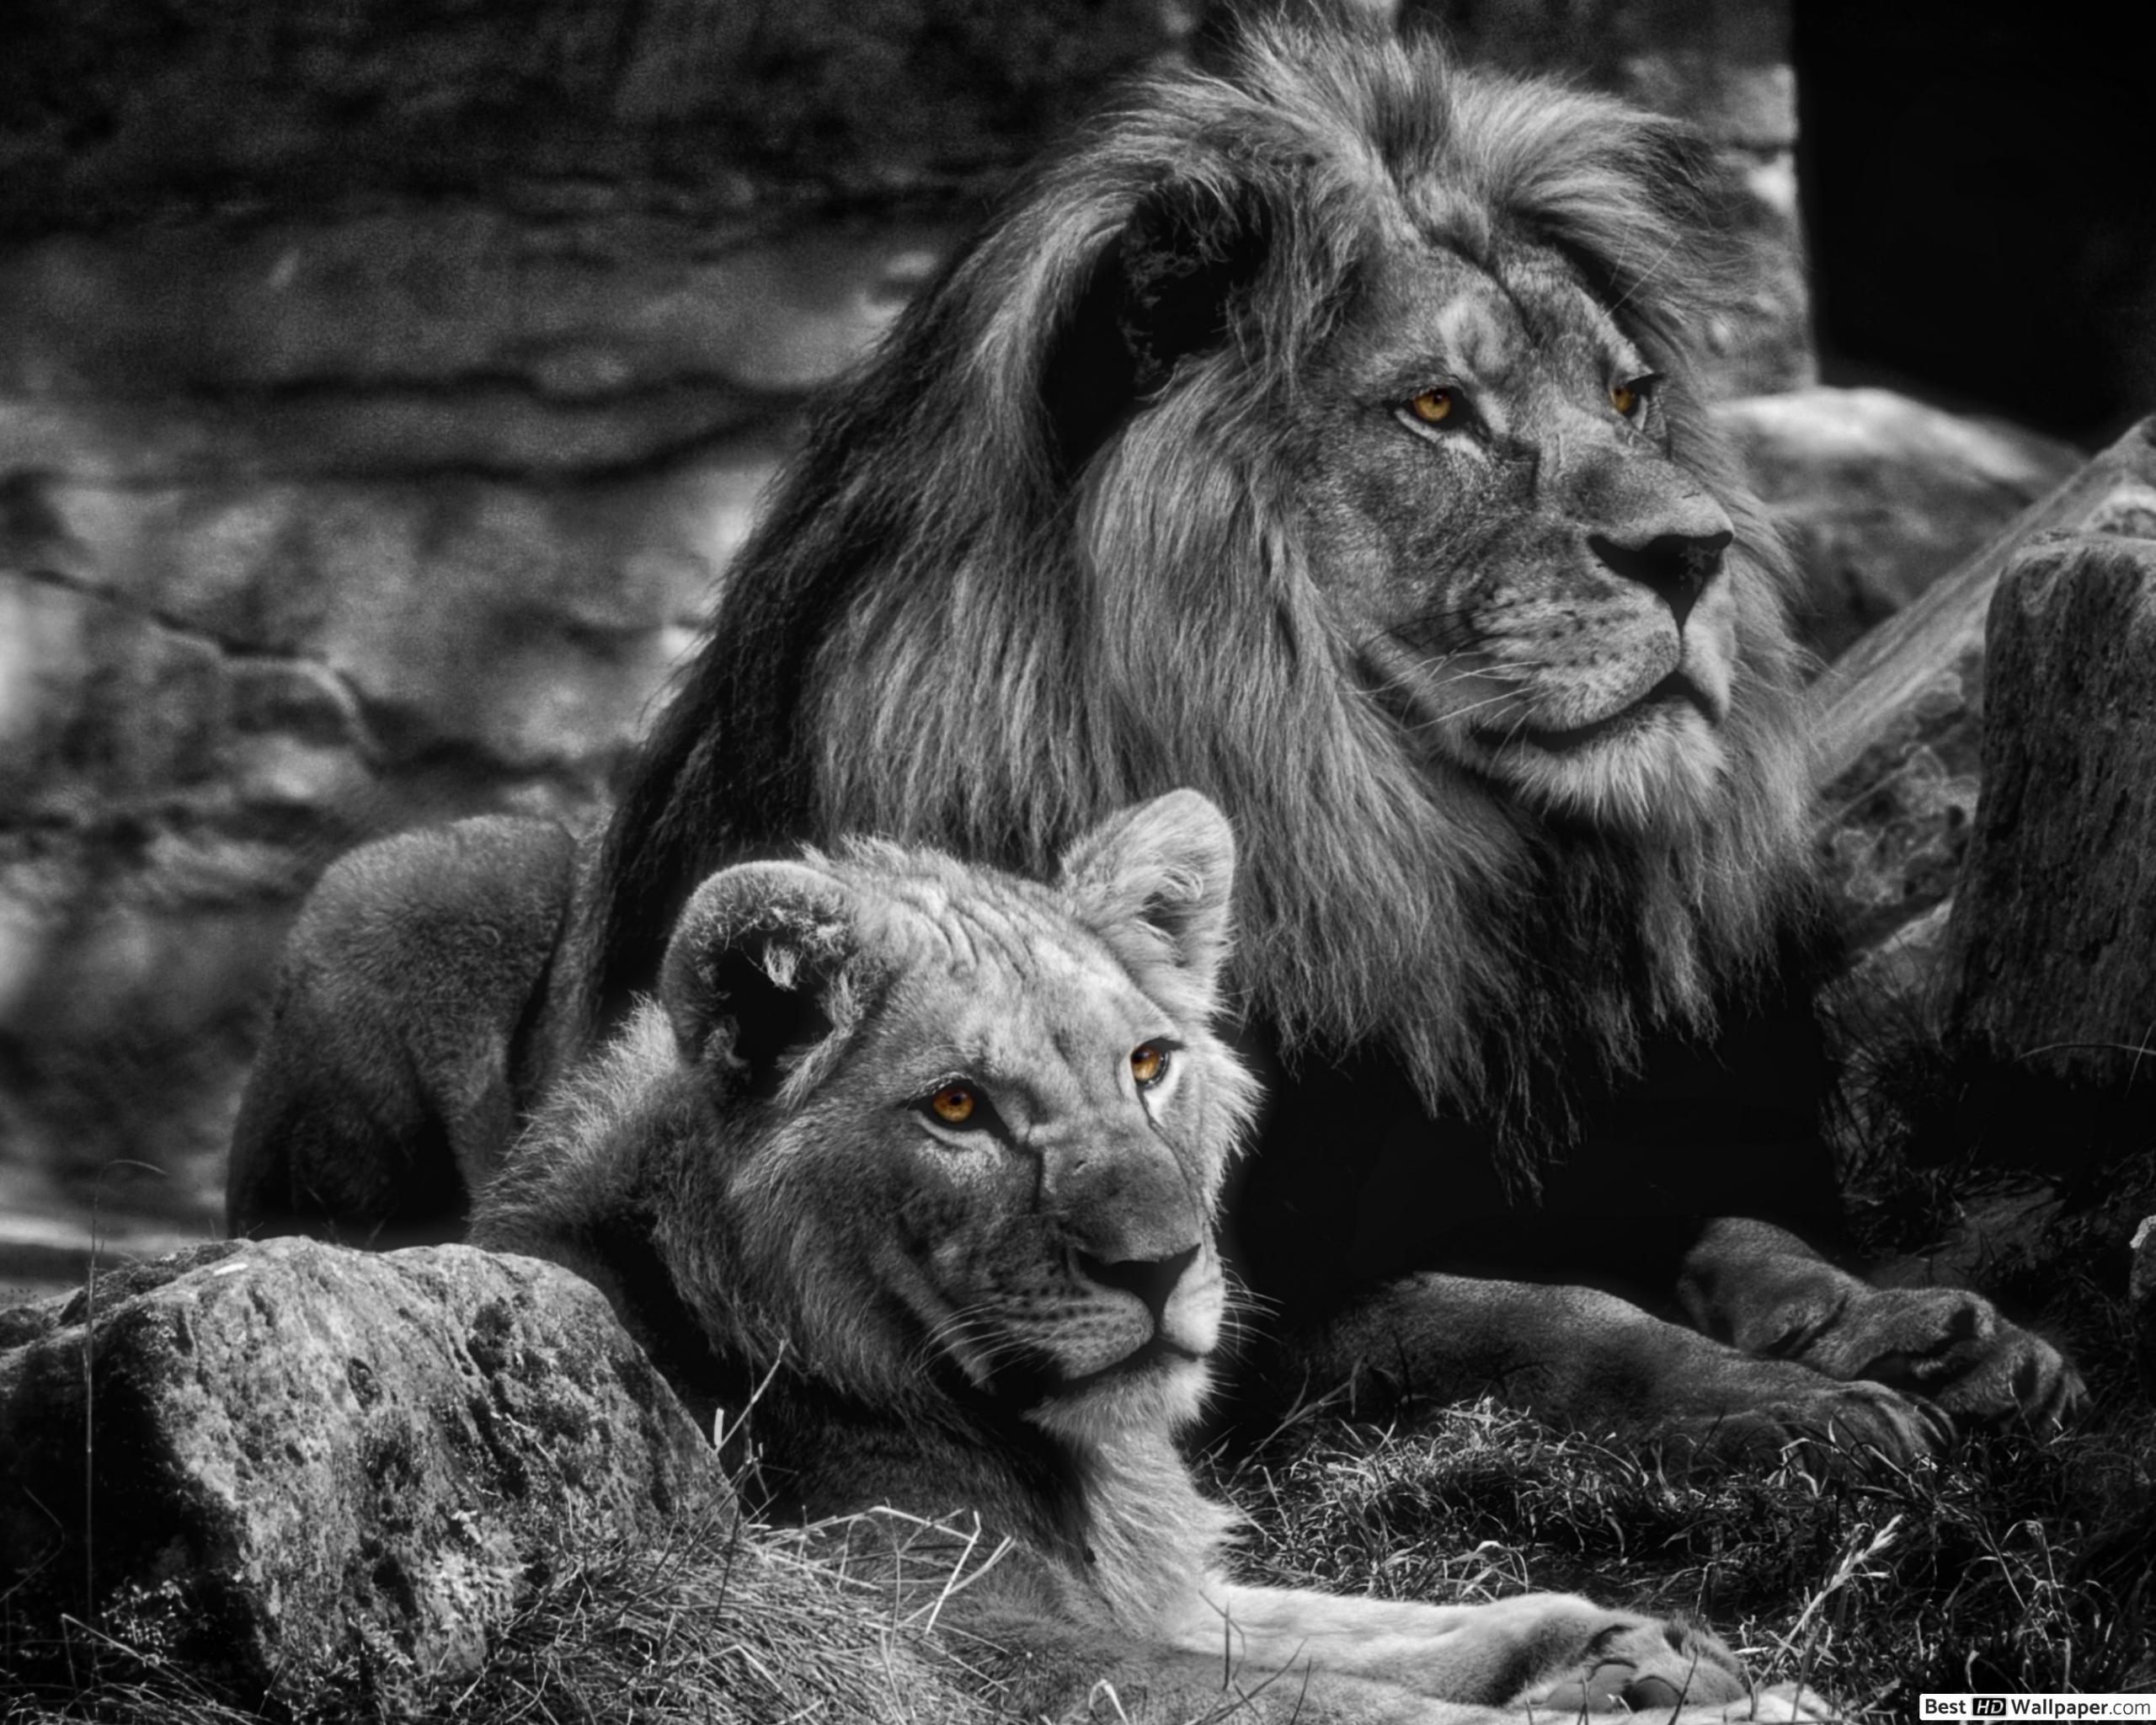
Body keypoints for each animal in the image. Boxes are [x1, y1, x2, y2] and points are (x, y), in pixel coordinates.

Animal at [231, 17, 2077, 1453]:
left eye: (1628, 397)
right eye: (1434, 409)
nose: (1696, 555)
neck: (1406, 857)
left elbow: (1734, 1231)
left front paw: (1911, 1322)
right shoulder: (1215, 1307)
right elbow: (1536, 1312)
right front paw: (1785, 1403)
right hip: (397, 883)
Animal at [471, 790, 1820, 1723]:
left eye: (1149, 1064)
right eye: (957, 1108)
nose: (1165, 1265)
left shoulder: (1162, 1594)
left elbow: (1364, 1628)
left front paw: (1628, 1648)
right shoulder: (929, 1643)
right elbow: (1331, 1703)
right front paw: (1737, 1702)